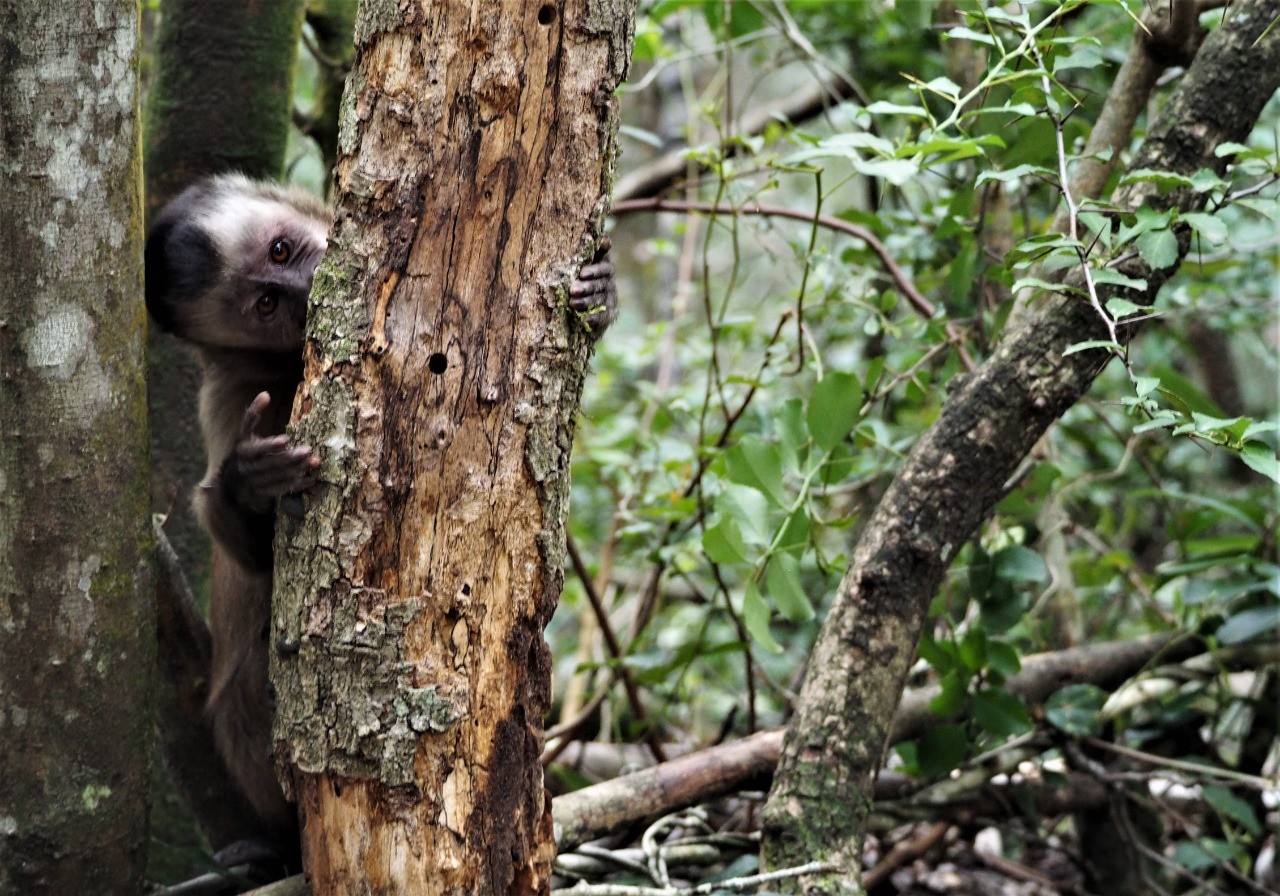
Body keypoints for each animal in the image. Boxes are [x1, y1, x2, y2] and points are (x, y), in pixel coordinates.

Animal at [145, 173, 617, 859]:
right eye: (267, 304)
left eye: (282, 250)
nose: (309, 285)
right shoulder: (229, 399)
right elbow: (250, 547)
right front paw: (249, 482)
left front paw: (601, 292)